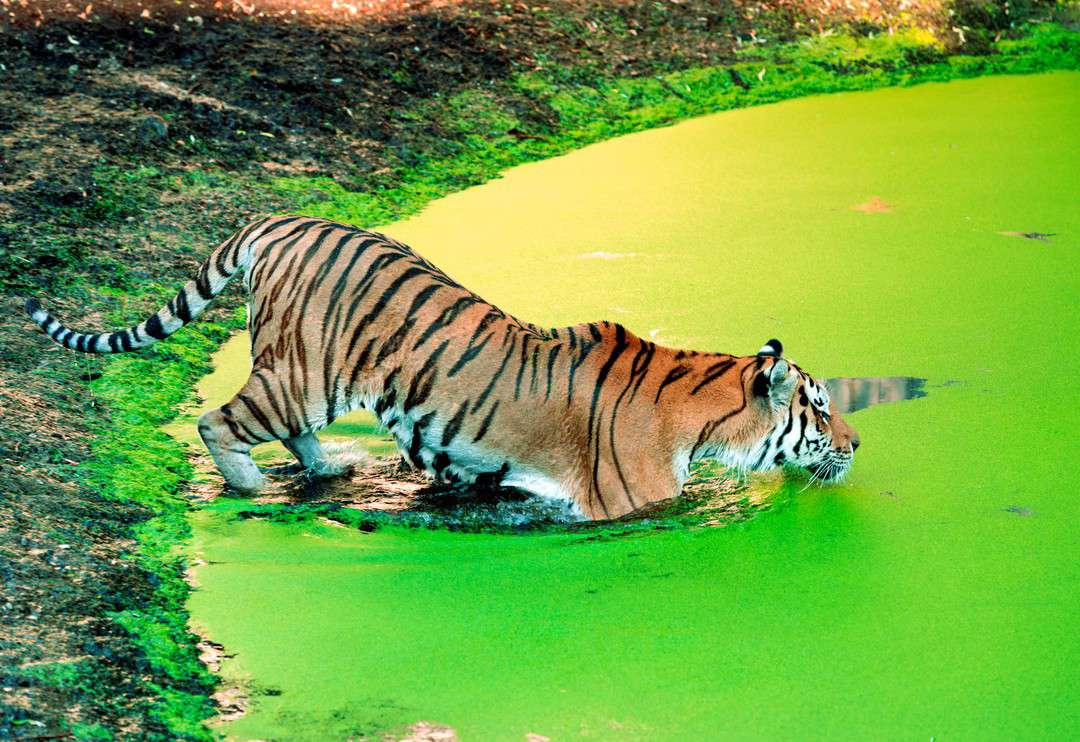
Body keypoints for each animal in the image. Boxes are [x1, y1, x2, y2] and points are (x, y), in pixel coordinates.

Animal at [25, 211, 859, 520]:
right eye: (819, 407)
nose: (856, 444)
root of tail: (282, 219)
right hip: (301, 379)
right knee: (216, 421)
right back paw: (252, 486)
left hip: (305, 380)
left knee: (287, 436)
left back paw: (327, 474)